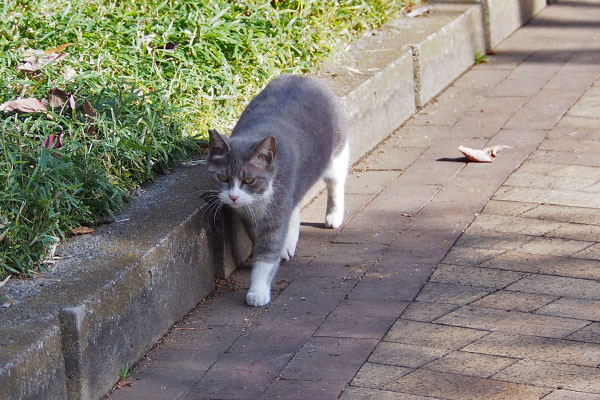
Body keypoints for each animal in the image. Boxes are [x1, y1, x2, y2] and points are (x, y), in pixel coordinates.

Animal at [207, 74, 350, 306]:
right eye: (222, 177)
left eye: (249, 179)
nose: (233, 196)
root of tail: (305, 77)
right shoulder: (249, 215)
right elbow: (258, 238)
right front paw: (281, 249)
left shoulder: (277, 207)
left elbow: (267, 252)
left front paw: (258, 291)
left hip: (337, 153)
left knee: (335, 183)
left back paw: (334, 216)